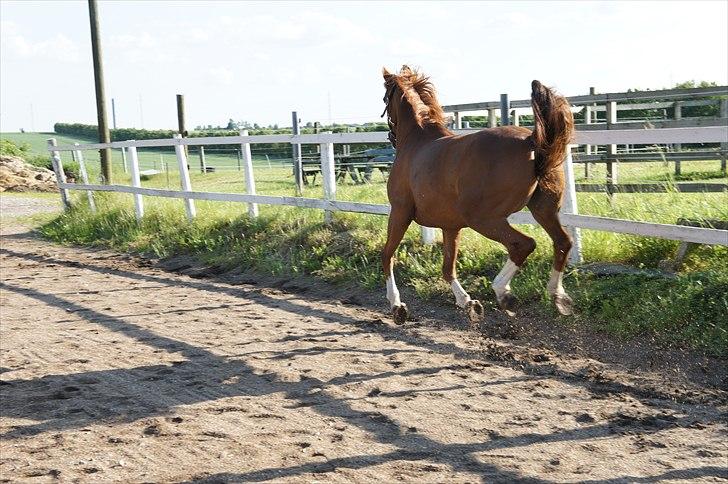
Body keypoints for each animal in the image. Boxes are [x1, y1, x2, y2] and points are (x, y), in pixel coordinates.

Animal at [382, 66, 576, 324]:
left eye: (385, 98)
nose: (391, 136)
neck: (417, 141)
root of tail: (531, 141)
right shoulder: (450, 226)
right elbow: (448, 268)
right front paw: (468, 302)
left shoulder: (400, 212)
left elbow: (387, 255)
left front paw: (397, 306)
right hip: (544, 210)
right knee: (563, 242)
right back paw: (558, 296)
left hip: (483, 218)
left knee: (523, 244)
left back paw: (503, 292)